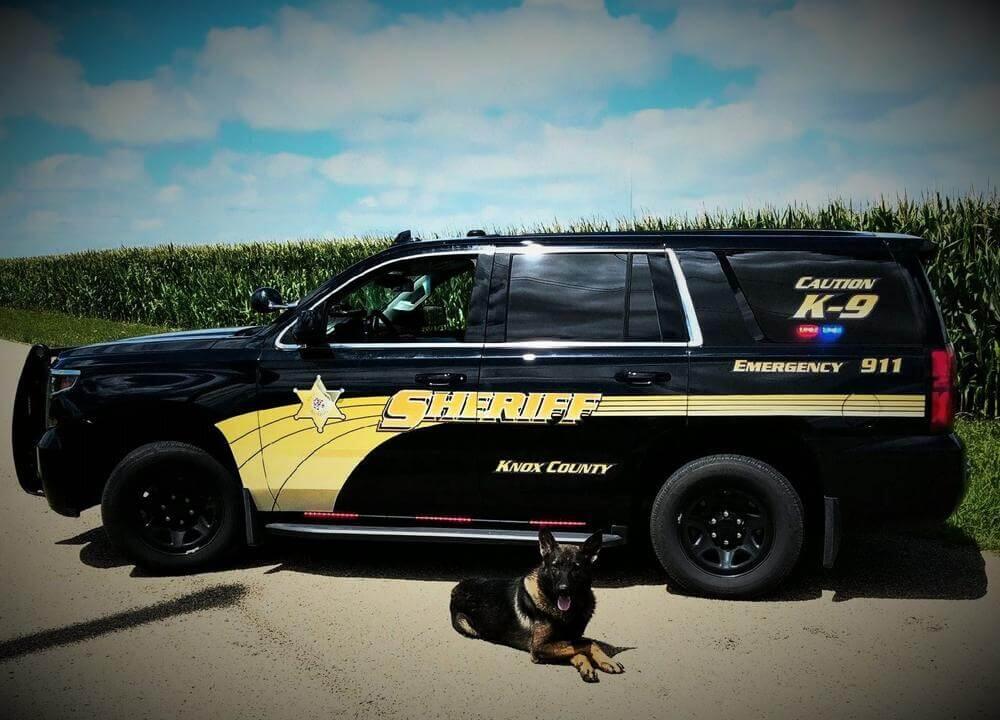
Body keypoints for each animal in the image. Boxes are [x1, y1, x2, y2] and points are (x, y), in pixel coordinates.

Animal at [448, 524, 620, 684]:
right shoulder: (540, 647)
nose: (563, 589)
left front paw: (600, 663)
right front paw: (596, 663)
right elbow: (585, 644)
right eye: (555, 566)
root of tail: (459, 585)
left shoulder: (565, 640)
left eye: (576, 568)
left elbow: (581, 646)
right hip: (467, 626)